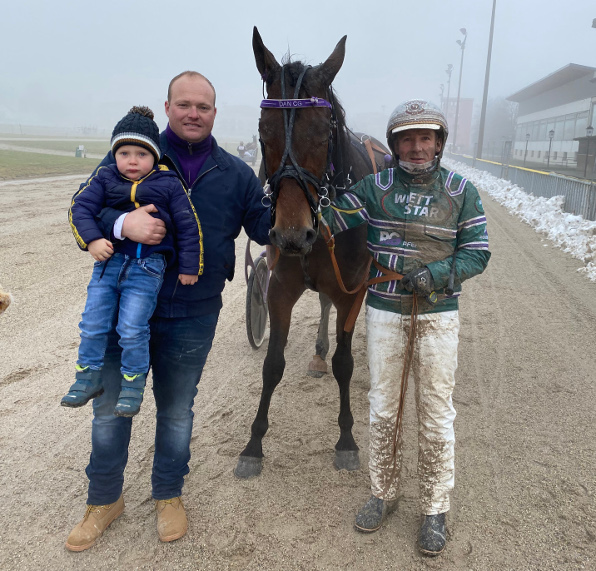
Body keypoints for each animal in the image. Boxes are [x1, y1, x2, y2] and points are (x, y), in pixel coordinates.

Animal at [233, 29, 392, 480]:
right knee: (322, 303)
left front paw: (347, 440)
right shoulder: (281, 286)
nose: (291, 234)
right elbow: (273, 365)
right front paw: (253, 446)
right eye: (263, 131)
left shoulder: (352, 288)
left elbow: (345, 363)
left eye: (324, 131)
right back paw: (318, 353)